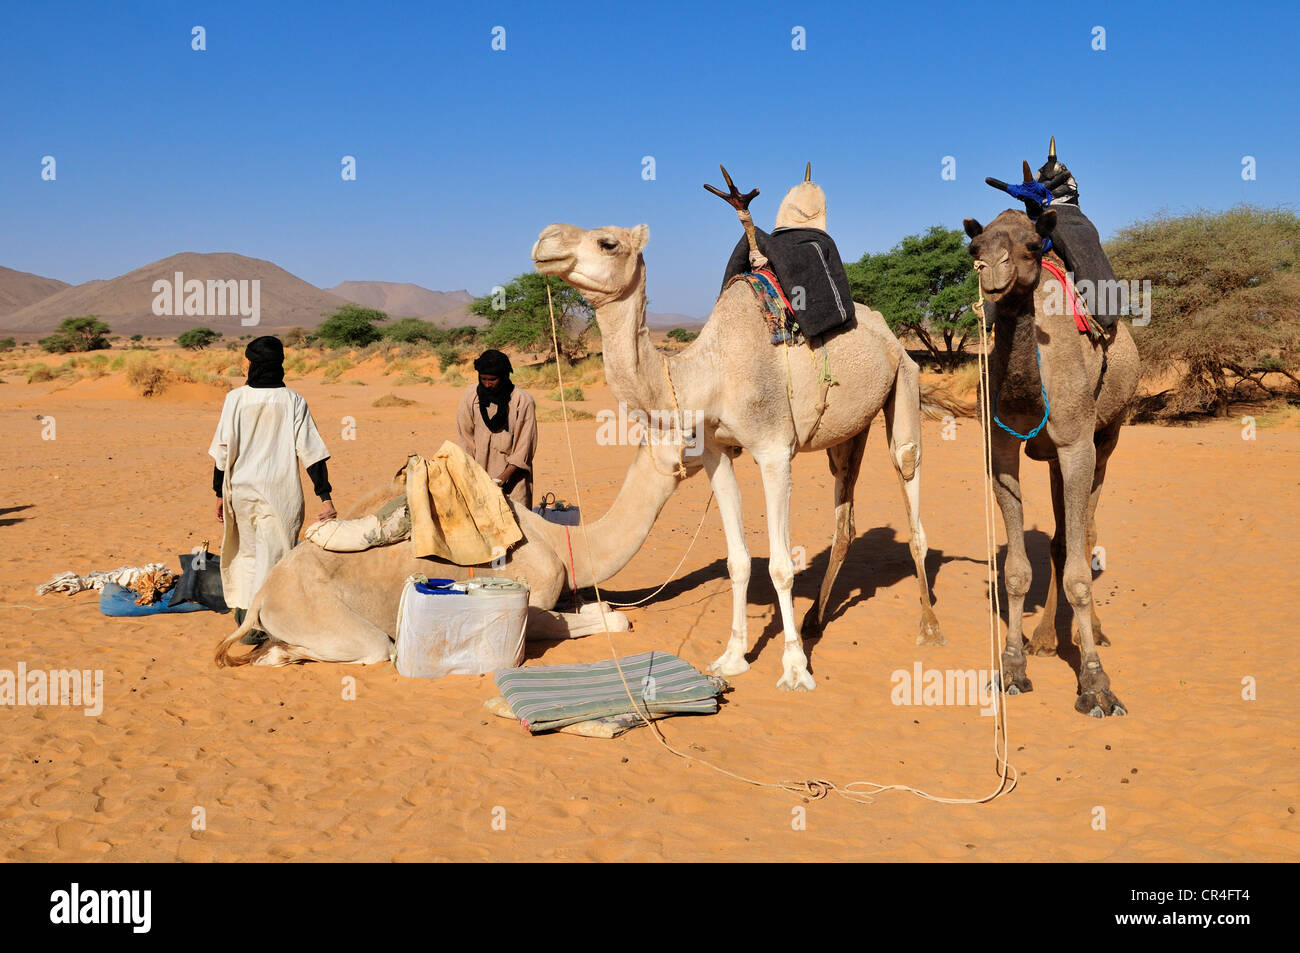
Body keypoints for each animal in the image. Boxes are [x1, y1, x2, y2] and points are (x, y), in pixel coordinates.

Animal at [967, 208, 1138, 712]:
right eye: (975, 246)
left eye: (1030, 246)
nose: (991, 272)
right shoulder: (1002, 447)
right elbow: (1016, 571)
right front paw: (1012, 667)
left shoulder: (1077, 443)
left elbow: (1080, 571)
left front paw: (1096, 685)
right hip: (1050, 457)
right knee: (1061, 540)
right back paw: (1044, 639)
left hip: (1108, 435)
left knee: (1085, 534)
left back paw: (1089, 635)